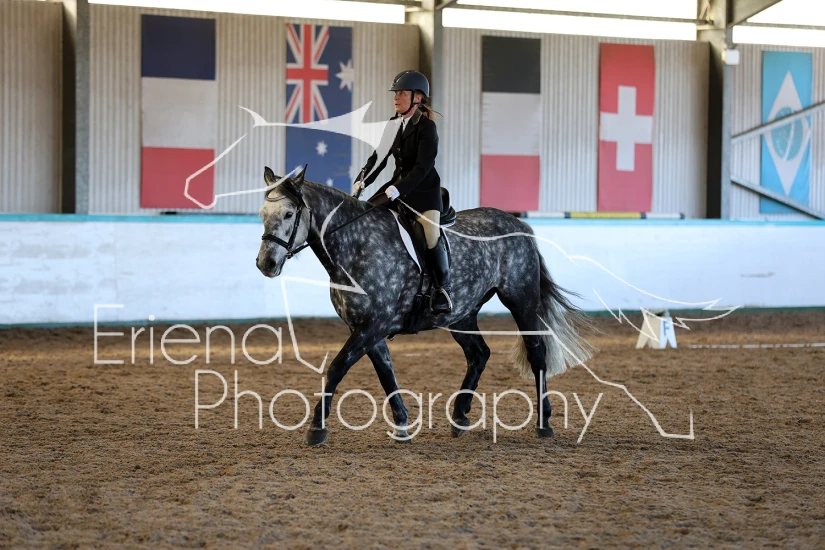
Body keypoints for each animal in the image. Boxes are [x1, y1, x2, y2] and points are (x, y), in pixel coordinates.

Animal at [255, 165, 595, 446]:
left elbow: (338, 367)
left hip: (521, 301)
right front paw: (402, 425)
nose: (265, 264)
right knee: (479, 354)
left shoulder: (374, 325)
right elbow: (386, 373)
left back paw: (543, 423)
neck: (356, 243)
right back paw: (459, 417)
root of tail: (520, 225)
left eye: (288, 214)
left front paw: (316, 428)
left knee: (537, 354)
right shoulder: (366, 327)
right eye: (261, 213)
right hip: (461, 315)